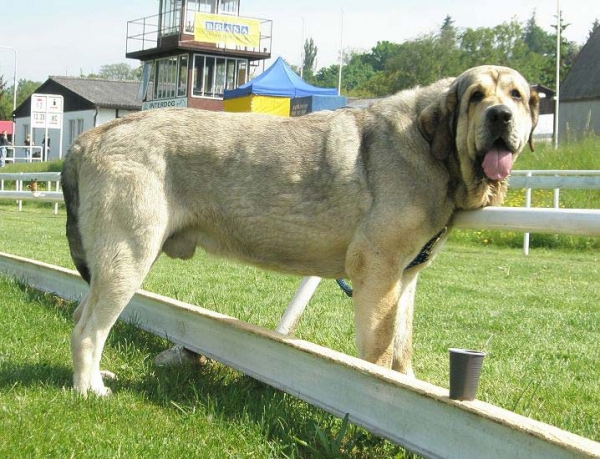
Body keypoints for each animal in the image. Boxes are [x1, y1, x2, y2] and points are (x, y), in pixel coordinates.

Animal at [62, 64, 540, 396]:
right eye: (476, 96)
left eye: (516, 96)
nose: (500, 116)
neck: (429, 146)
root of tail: (89, 138)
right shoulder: (378, 273)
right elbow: (380, 352)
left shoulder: (404, 280)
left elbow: (402, 349)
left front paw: (408, 384)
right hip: (129, 256)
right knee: (89, 331)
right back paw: (91, 390)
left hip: (113, 265)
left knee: (80, 317)